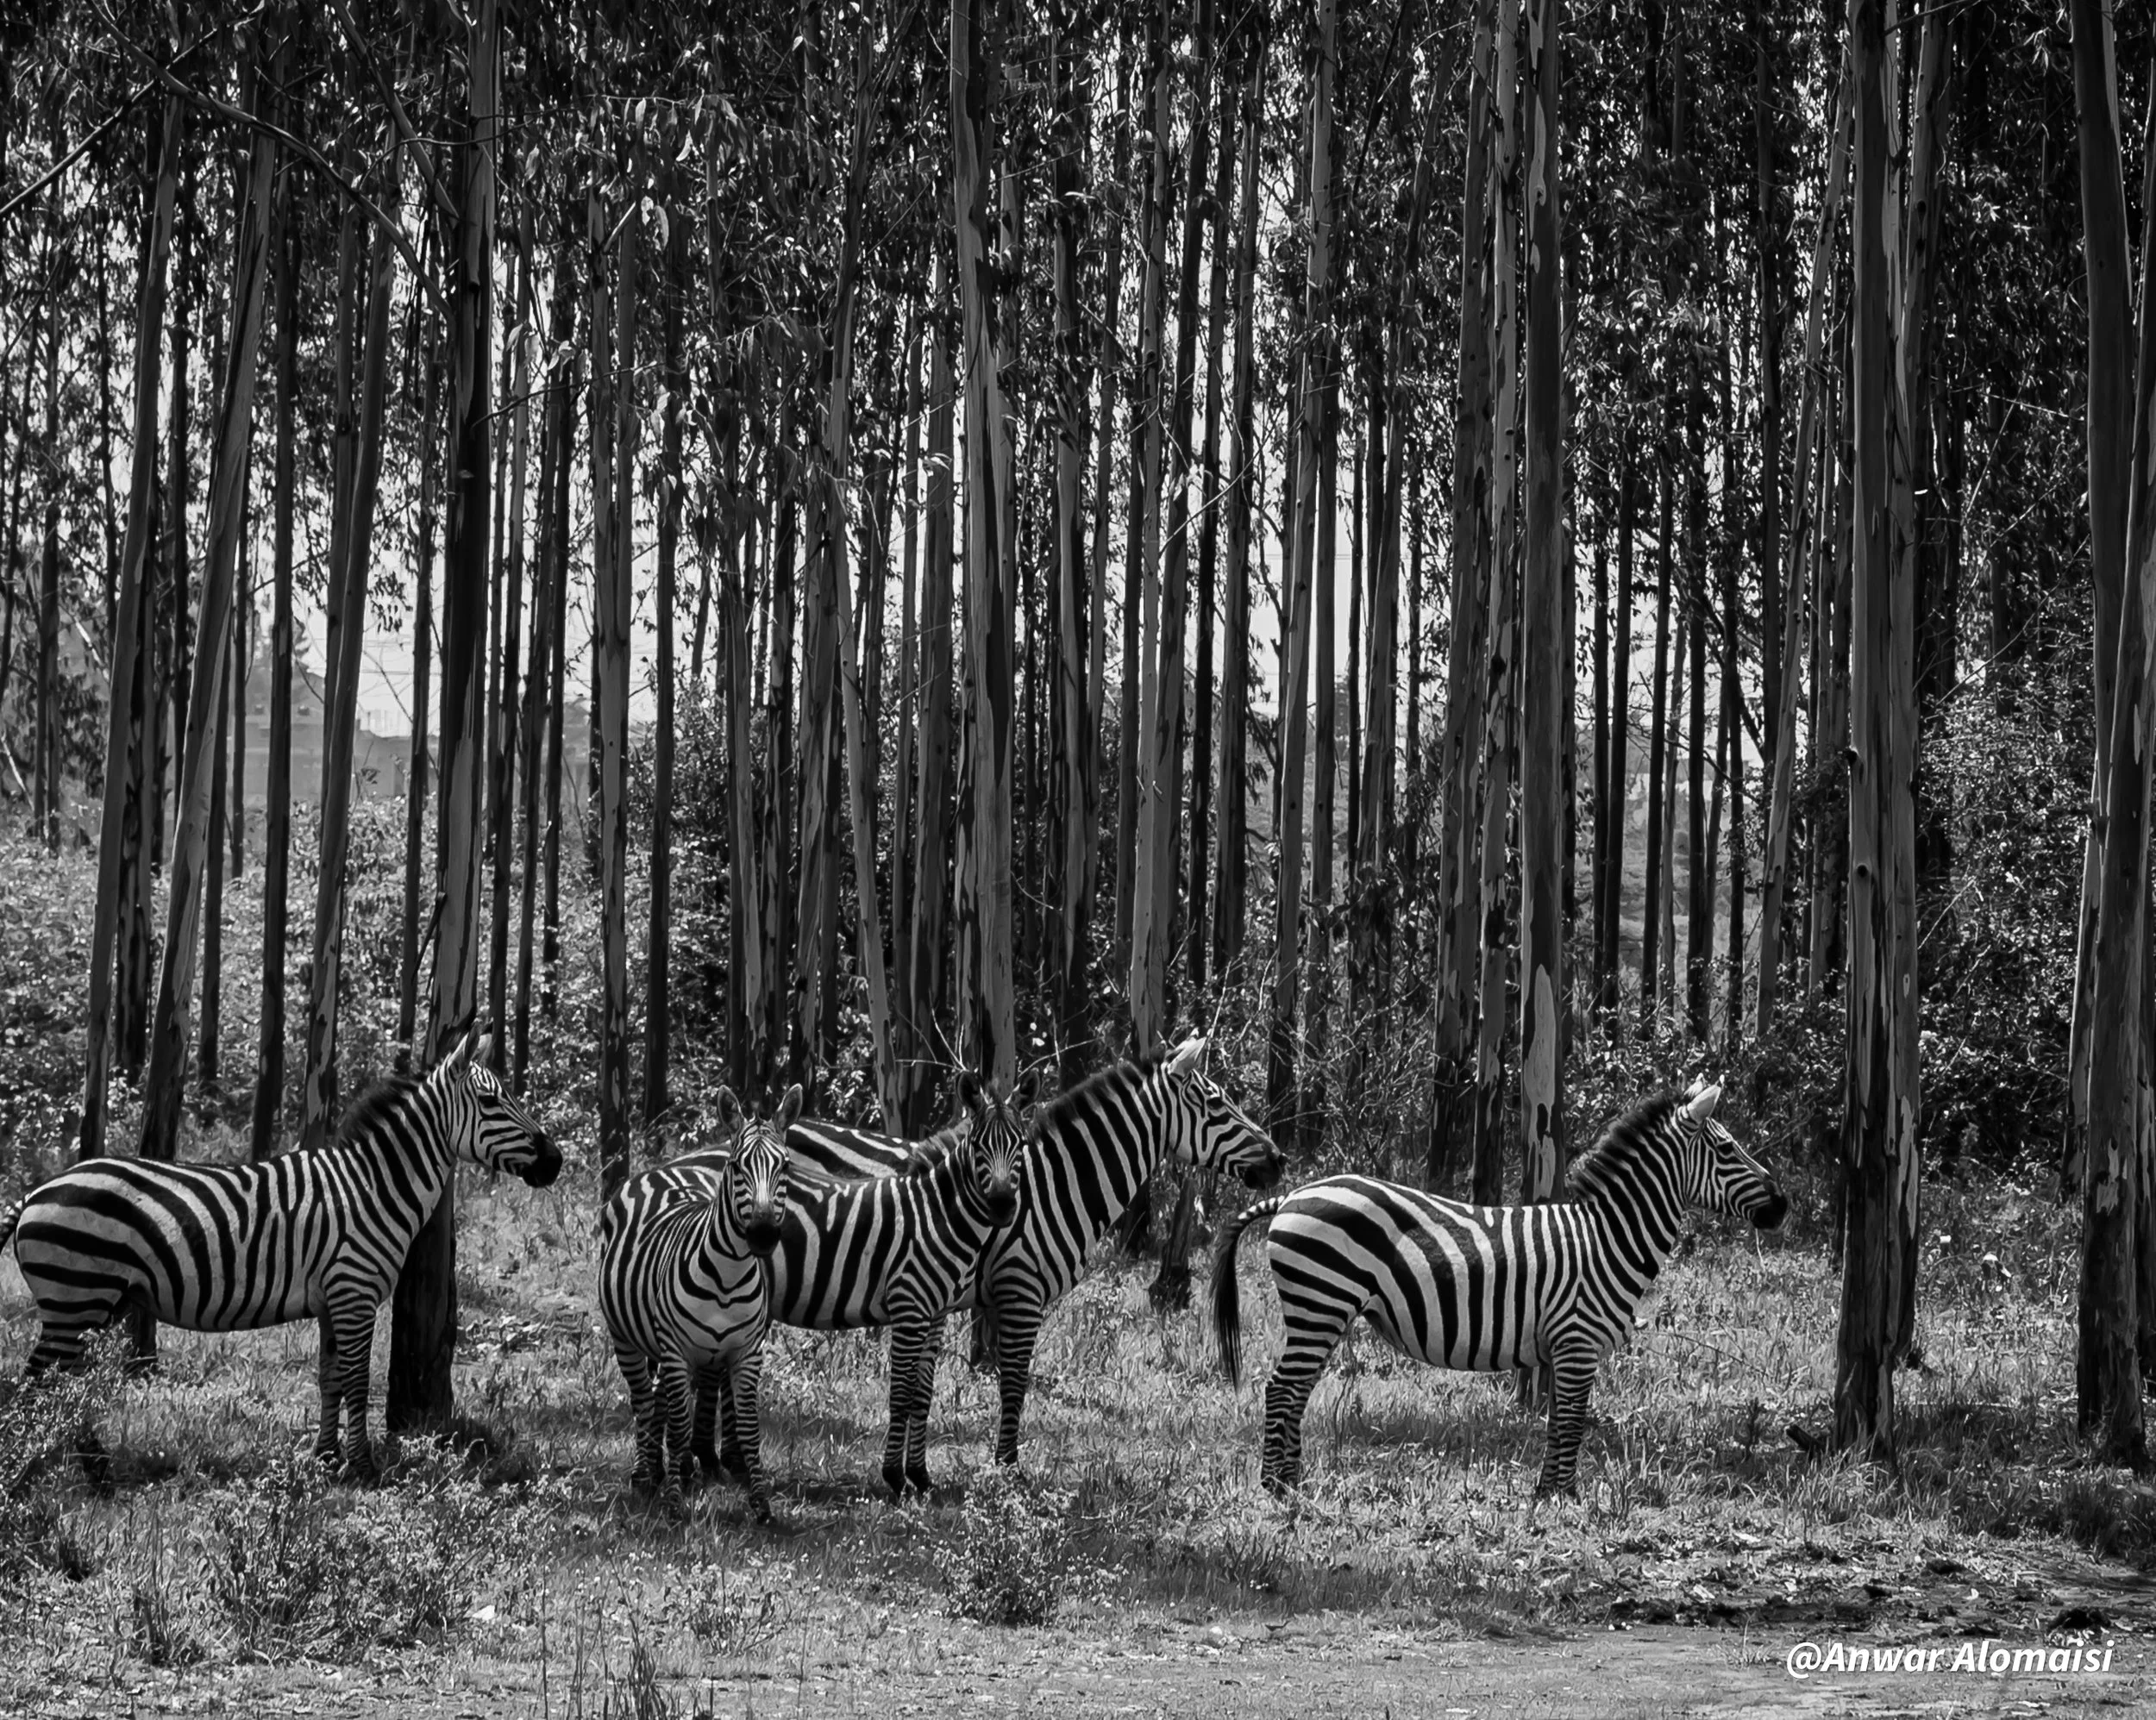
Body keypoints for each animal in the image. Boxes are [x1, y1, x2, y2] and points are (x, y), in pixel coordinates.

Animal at [2, 1029, 557, 1479]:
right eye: (491, 1101)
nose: (555, 1161)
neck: (373, 1185)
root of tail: (35, 1192)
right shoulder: (354, 1293)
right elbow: (358, 1381)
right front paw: (364, 1467)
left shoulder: (335, 1300)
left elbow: (330, 1378)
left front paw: (327, 1459)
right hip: (75, 1296)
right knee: (38, 1382)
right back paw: (42, 1466)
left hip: (89, 1303)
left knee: (61, 1382)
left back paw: (89, 1464)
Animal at [597, 1084, 798, 1517]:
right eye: (737, 1167)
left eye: (786, 1167)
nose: (762, 1234)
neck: (728, 1276)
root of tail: (660, 1168)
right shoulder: (675, 1349)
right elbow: (676, 1427)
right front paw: (674, 1504)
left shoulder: (746, 1352)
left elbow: (749, 1429)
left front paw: (760, 1503)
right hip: (627, 1339)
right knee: (643, 1401)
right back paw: (645, 1476)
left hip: (695, 1354)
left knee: (661, 1401)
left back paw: (672, 1472)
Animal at [647, 1071, 1032, 1498]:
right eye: (979, 1146)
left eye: (1021, 1145)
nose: (1002, 1206)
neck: (937, 1215)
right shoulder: (910, 1305)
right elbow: (901, 1392)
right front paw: (895, 1477)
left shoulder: (935, 1314)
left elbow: (921, 1394)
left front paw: (920, 1477)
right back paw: (669, 1472)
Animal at [706, 1037, 1283, 1481]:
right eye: (1217, 1106)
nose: (1279, 1159)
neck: (1052, 1184)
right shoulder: (1019, 1289)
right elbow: (1014, 1384)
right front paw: (1006, 1469)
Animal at [1210, 1083, 1787, 1496]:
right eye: (1729, 1149)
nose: (1783, 1205)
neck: (1607, 1237)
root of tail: (1290, 1196)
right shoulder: (1577, 1341)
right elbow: (1572, 1422)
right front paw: (1562, 1496)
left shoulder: (1563, 1348)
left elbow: (1557, 1422)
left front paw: (1549, 1491)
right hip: (1320, 1302)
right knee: (1282, 1388)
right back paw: (1277, 1487)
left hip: (1318, 1308)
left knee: (1295, 1390)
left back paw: (1292, 1480)